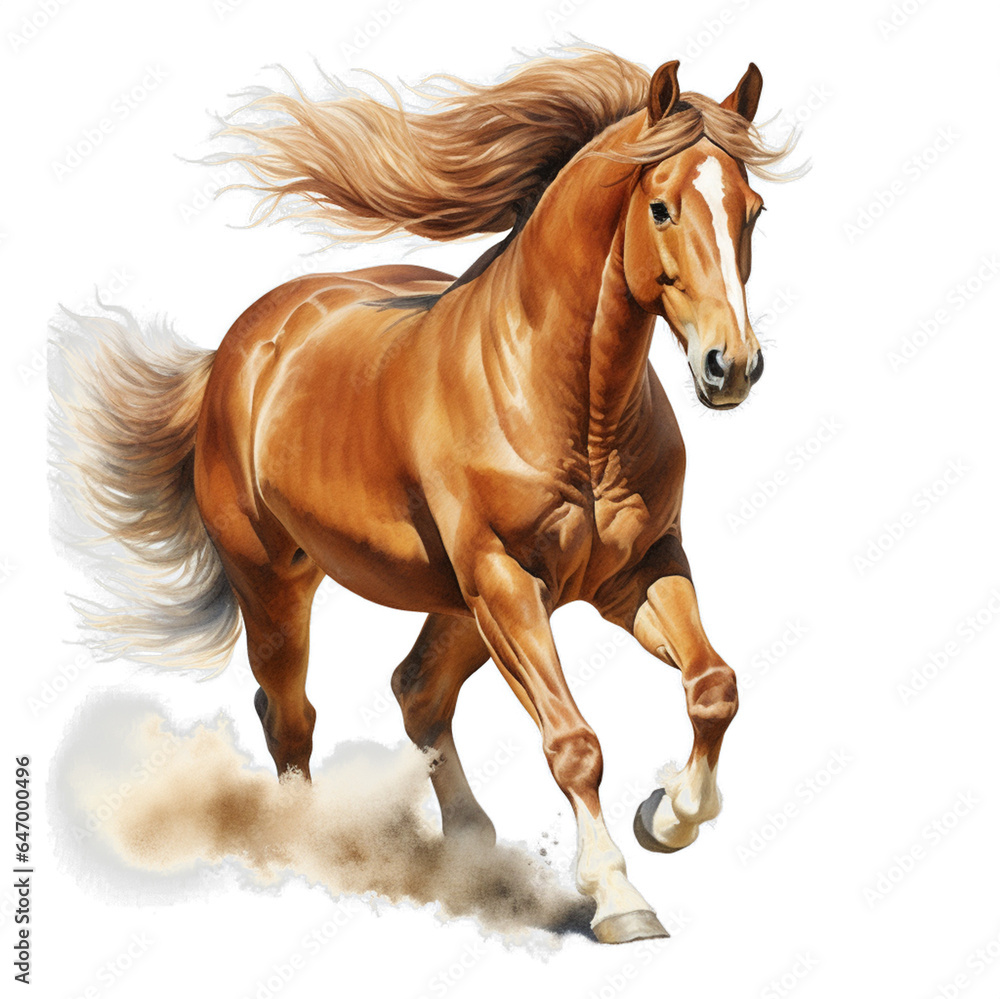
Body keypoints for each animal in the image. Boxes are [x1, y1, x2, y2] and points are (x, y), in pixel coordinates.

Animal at [51, 50, 797, 944]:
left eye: (754, 209)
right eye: (660, 207)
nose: (732, 366)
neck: (572, 408)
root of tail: (241, 346)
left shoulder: (637, 569)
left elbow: (714, 686)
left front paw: (668, 816)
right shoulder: (507, 580)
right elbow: (573, 742)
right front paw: (620, 895)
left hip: (456, 601)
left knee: (415, 691)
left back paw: (468, 844)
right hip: (280, 582)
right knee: (290, 712)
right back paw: (317, 843)